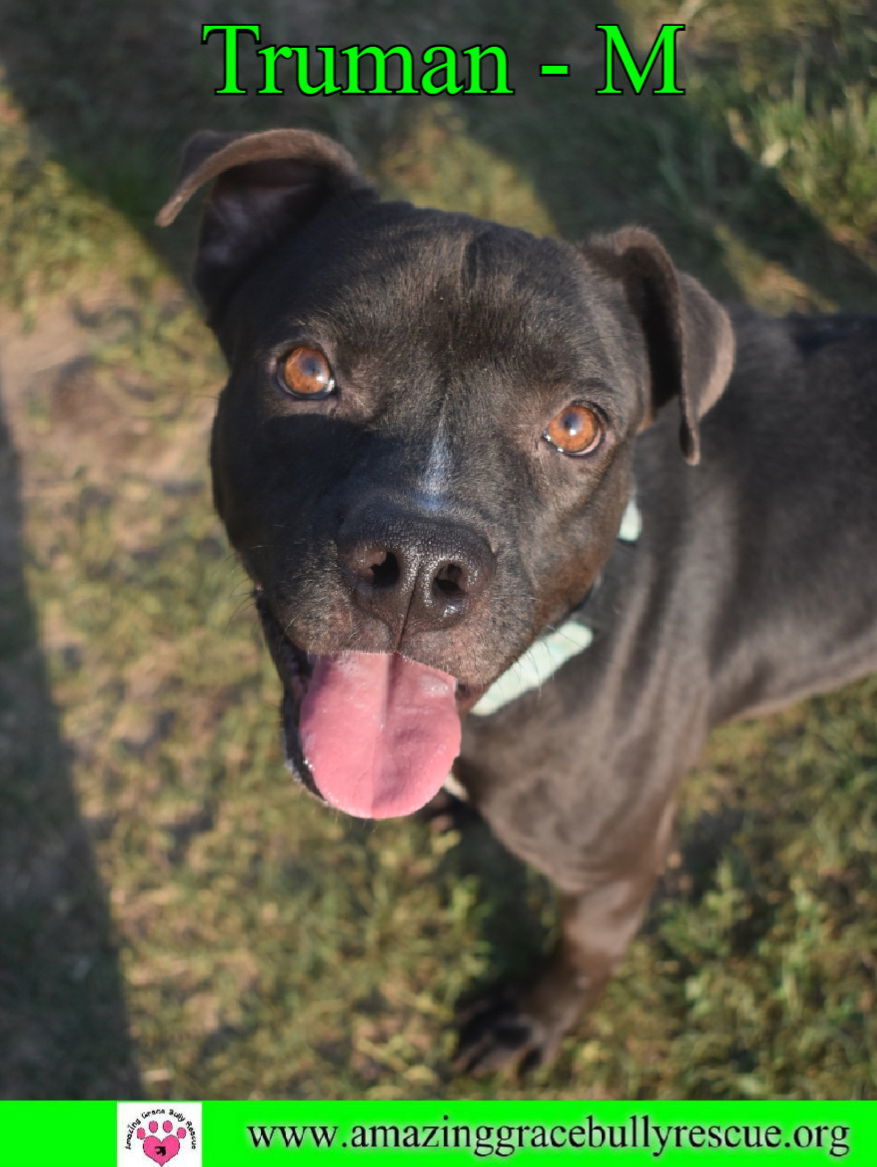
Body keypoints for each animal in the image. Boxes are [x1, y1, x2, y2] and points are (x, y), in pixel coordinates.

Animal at [156, 130, 877, 1073]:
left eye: (577, 426)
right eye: (306, 370)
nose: (418, 563)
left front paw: (531, 1023)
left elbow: (582, 953)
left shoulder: (614, 870)